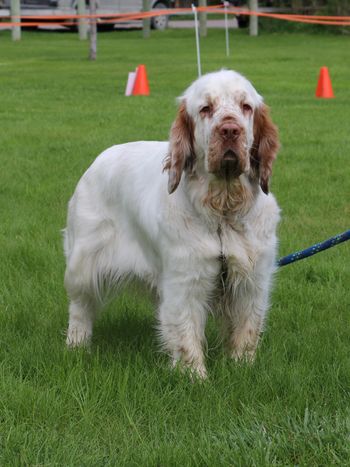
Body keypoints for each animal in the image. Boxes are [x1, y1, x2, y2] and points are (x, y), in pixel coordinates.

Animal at [63, 69, 282, 378]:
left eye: (246, 107)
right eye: (206, 108)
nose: (230, 130)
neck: (223, 210)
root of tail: (99, 159)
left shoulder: (252, 282)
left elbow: (246, 332)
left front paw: (242, 369)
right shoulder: (185, 281)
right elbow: (186, 335)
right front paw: (196, 379)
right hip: (83, 264)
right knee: (80, 307)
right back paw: (77, 344)